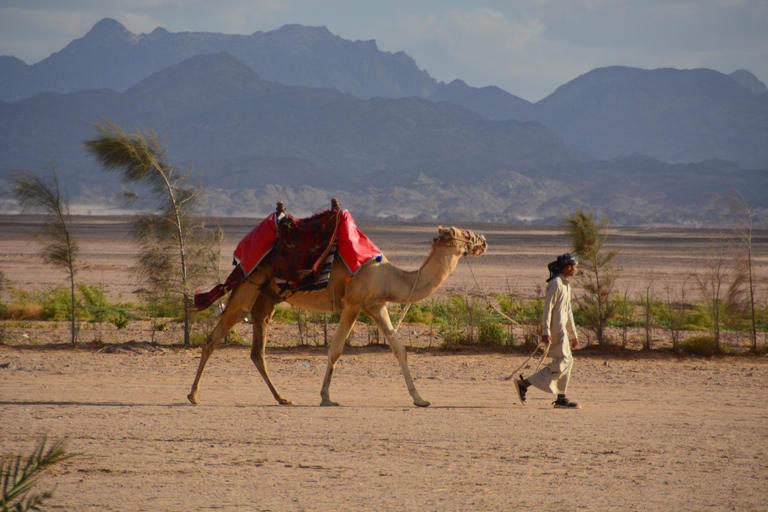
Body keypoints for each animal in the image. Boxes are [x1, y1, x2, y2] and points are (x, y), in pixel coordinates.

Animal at [186, 224, 486, 408]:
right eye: (463, 234)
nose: (483, 240)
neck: (390, 277)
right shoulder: (353, 304)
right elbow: (336, 350)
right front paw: (326, 397)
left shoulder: (376, 306)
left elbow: (399, 349)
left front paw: (420, 398)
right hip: (249, 285)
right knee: (215, 337)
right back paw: (193, 395)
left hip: (267, 297)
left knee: (257, 350)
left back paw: (282, 398)